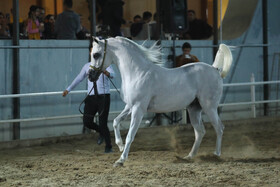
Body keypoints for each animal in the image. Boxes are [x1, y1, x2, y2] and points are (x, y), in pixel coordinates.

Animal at [89, 37, 232, 167]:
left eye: (96, 54)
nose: (91, 76)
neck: (137, 73)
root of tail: (215, 70)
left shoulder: (138, 109)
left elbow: (130, 135)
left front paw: (121, 160)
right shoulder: (129, 106)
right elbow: (115, 122)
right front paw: (120, 146)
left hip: (209, 107)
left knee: (219, 128)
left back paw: (216, 155)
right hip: (194, 109)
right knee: (200, 132)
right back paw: (189, 156)